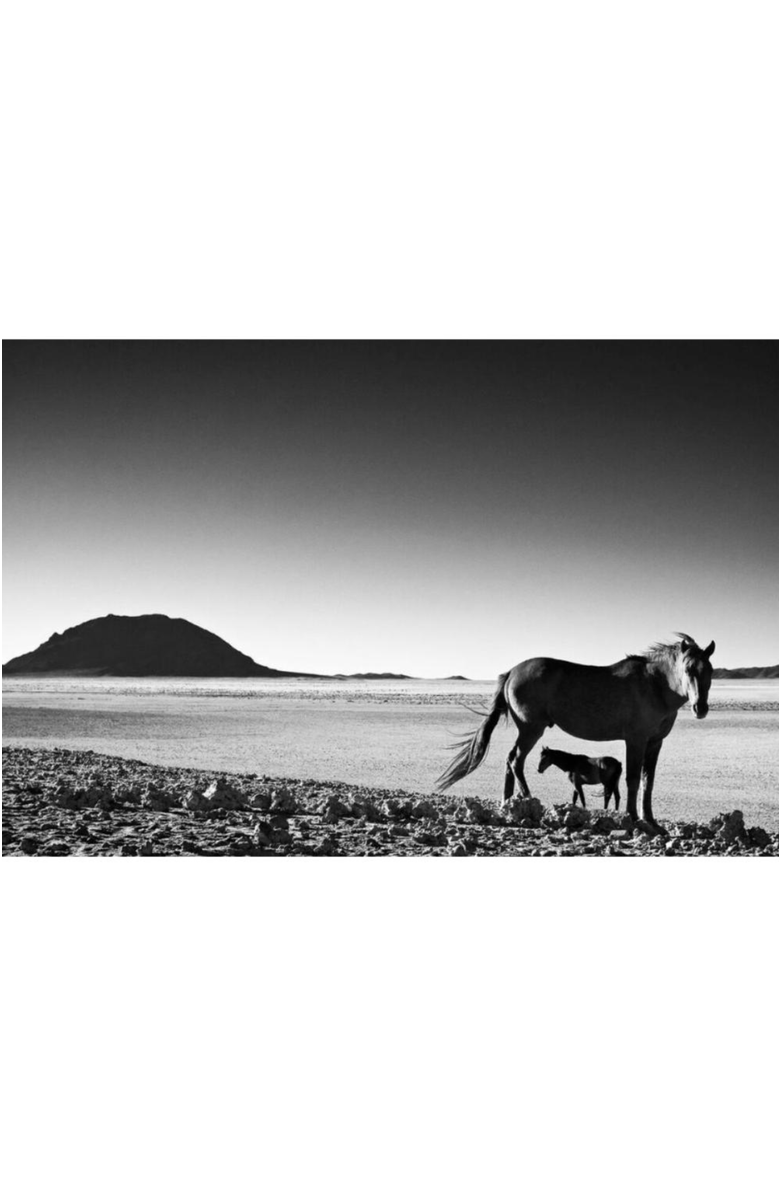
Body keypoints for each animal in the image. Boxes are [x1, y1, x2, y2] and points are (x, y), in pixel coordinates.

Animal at [436, 634, 715, 829]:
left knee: (510, 760)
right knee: (515, 760)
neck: (655, 685)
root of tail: (512, 671)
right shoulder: (635, 740)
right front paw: (633, 817)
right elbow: (634, 779)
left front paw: (651, 820)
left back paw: (507, 804)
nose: (700, 708)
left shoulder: (655, 742)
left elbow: (649, 781)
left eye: (710, 671)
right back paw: (528, 800)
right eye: (688, 669)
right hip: (531, 729)